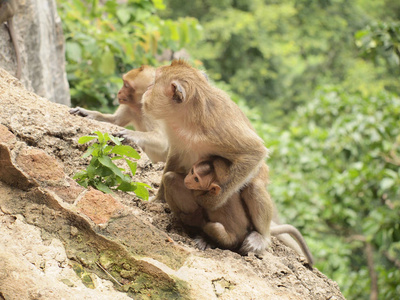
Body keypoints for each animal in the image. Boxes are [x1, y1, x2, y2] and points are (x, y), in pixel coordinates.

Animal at [133, 59, 274, 254]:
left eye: (154, 82)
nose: (147, 89)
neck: (189, 119)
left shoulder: (220, 127)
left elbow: (254, 152)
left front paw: (211, 202)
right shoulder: (175, 130)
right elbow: (175, 157)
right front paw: (158, 199)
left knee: (253, 186)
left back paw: (261, 237)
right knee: (171, 179)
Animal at [186, 157, 314, 264]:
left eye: (196, 179)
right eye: (192, 171)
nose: (187, 179)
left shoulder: (200, 193)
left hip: (230, 239)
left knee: (215, 227)